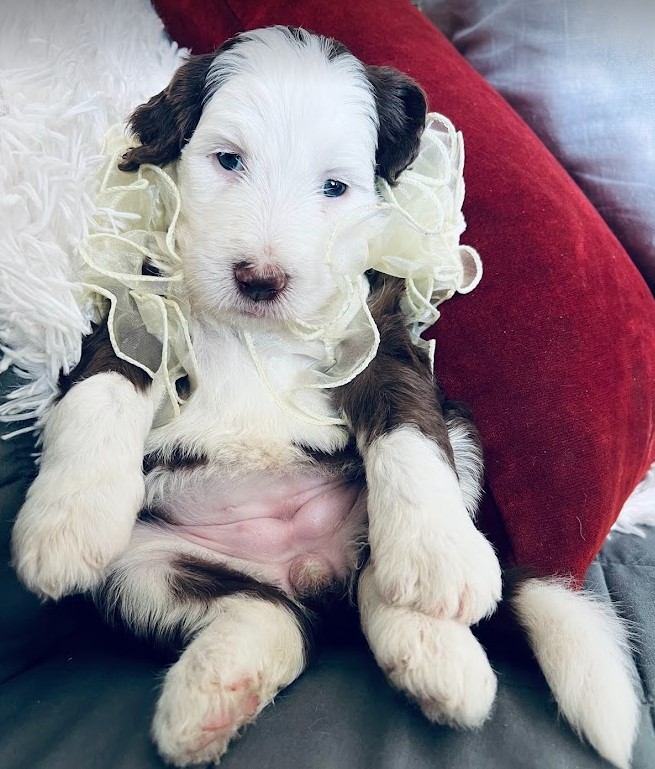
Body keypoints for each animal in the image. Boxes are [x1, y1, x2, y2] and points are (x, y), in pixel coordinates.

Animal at [11, 25, 640, 768]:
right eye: (228, 160)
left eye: (335, 187)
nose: (260, 278)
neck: (256, 331)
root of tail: (307, 569)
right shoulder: (136, 305)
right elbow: (101, 388)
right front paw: (65, 523)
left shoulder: (381, 335)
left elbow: (405, 430)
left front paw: (437, 557)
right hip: (141, 572)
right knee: (272, 614)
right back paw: (213, 695)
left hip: (461, 437)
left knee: (371, 578)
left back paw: (436, 653)